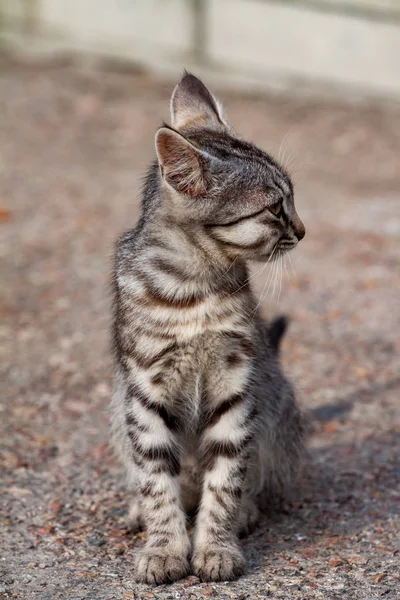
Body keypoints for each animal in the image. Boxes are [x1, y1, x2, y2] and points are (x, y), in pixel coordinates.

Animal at [110, 72, 306, 584]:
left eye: (291, 200)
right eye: (275, 208)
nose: (302, 230)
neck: (194, 290)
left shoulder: (237, 387)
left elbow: (225, 480)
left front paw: (216, 547)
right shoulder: (145, 393)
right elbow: (158, 482)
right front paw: (164, 548)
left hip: (275, 408)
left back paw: (246, 512)